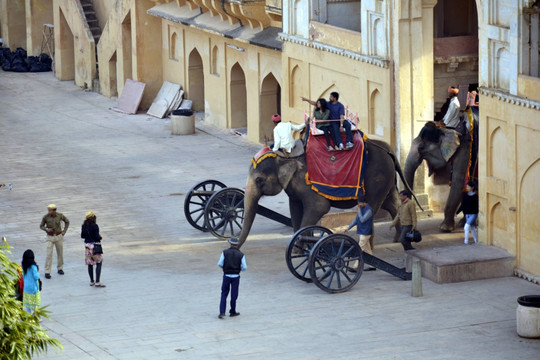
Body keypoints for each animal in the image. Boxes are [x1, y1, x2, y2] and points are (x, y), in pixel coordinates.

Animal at [237, 139, 418, 249]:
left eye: (259, 180)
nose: (233, 242)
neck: (285, 155)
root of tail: (388, 150)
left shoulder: (306, 185)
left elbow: (319, 207)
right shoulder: (294, 188)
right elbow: (295, 210)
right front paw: (299, 249)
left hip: (377, 178)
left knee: (372, 208)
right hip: (387, 179)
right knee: (393, 204)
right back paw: (397, 241)